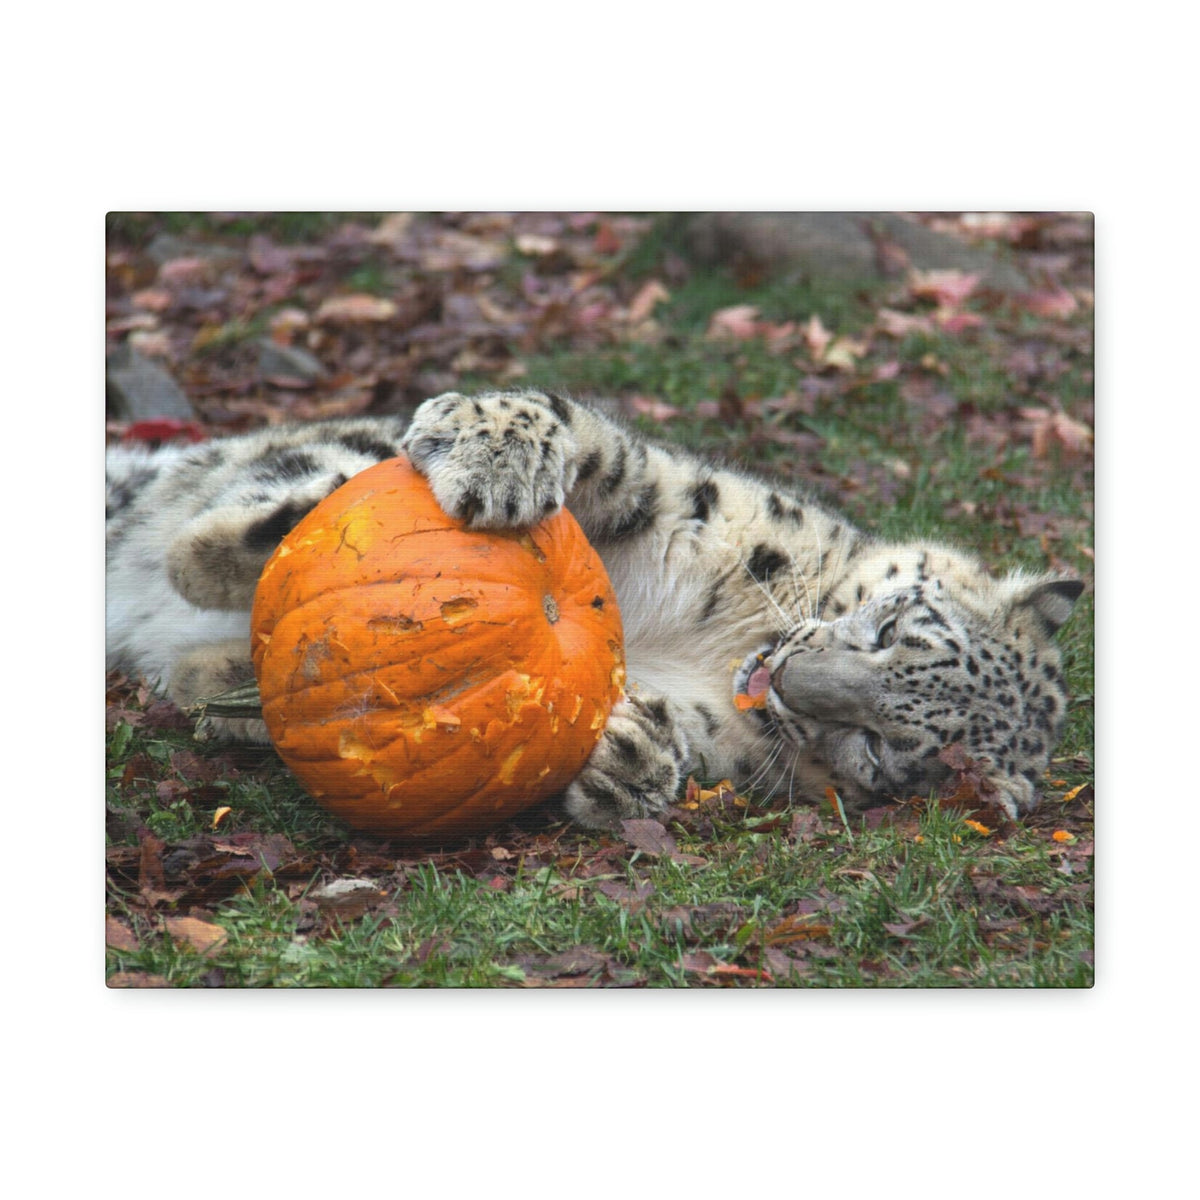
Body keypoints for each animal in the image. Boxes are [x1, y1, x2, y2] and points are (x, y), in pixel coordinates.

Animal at [106, 388, 1083, 832]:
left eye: (880, 749)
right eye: (888, 627)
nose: (790, 679)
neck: (730, 637)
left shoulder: (741, 741)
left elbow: (689, 740)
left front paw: (631, 752)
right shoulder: (695, 502)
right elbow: (597, 442)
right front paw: (493, 453)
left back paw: (227, 684)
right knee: (253, 504)